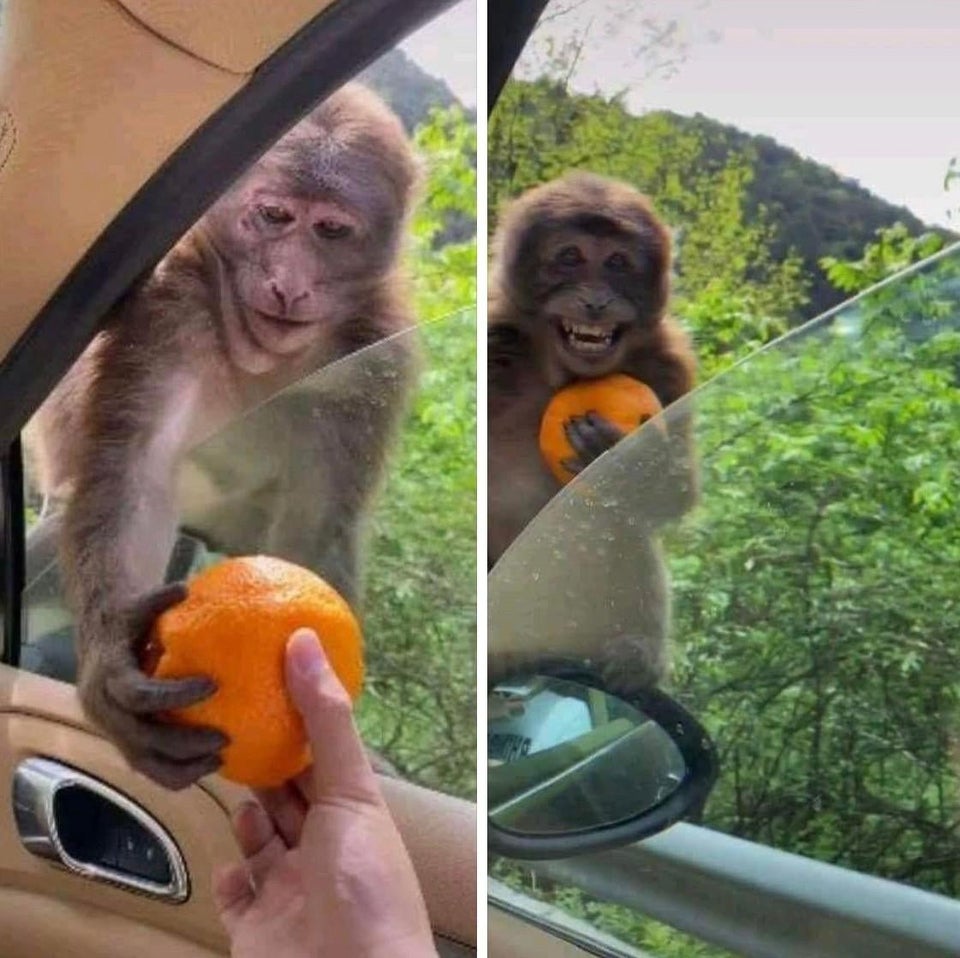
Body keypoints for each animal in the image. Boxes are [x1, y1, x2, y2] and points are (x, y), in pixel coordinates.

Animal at [23, 83, 420, 790]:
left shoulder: (373, 364)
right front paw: (112, 663)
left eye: (331, 230)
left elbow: (316, 526)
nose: (289, 283)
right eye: (274, 215)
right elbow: (138, 476)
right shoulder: (170, 311)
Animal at [487, 172, 698, 696]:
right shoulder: (496, 334)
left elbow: (676, 494)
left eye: (618, 263)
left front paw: (623, 456)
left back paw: (633, 655)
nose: (597, 301)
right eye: (570, 256)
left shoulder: (669, 364)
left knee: (621, 522)